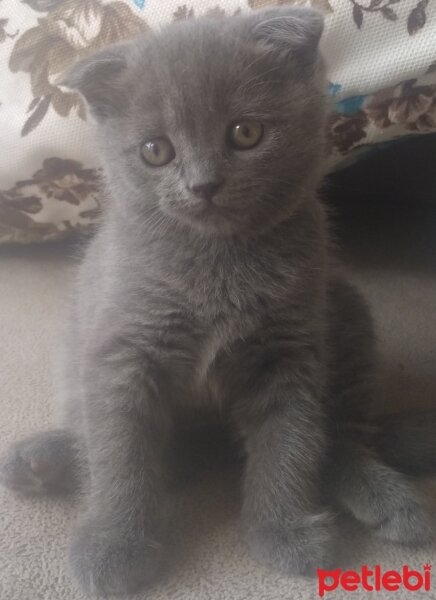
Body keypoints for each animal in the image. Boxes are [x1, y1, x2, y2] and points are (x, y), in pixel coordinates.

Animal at [1, 8, 434, 596]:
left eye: (245, 133)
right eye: (155, 150)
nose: (202, 184)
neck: (216, 265)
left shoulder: (290, 351)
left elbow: (291, 441)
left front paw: (283, 530)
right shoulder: (122, 350)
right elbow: (119, 450)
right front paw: (114, 543)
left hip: (347, 313)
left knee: (345, 434)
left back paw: (387, 498)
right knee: (127, 446)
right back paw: (42, 461)